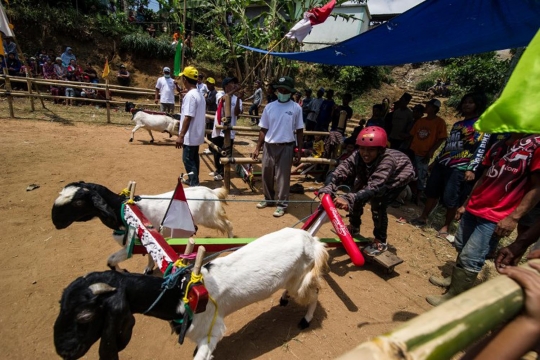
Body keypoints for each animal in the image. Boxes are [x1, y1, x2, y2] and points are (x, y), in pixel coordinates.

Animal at [51, 181, 234, 274]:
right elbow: (150, 255)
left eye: (79, 202)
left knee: (228, 224)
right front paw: (148, 268)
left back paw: (232, 240)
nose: (55, 222)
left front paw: (123, 270)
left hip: (211, 218)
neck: (123, 210)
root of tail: (211, 191)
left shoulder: (130, 246)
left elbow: (111, 260)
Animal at [53, 228, 330, 360]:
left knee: (315, 292)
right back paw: (283, 298)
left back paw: (305, 320)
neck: (181, 294)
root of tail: (312, 241)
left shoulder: (212, 330)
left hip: (301, 280)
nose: (64, 352)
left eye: (85, 316)